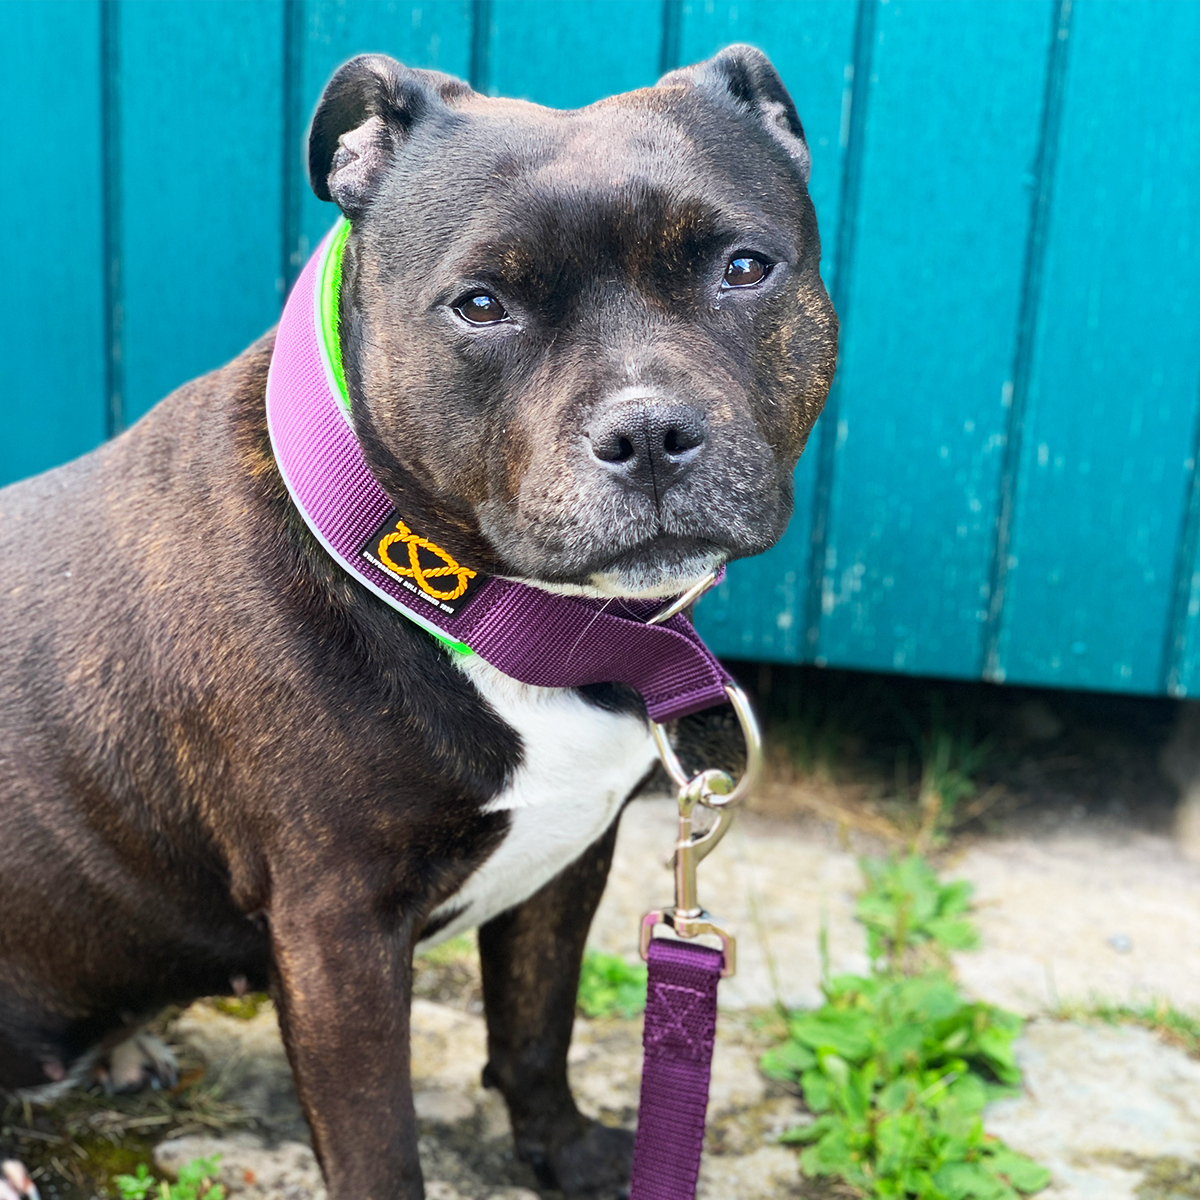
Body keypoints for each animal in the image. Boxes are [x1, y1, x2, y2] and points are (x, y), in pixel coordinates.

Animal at [0, 46, 840, 1200]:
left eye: (745, 269)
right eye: (479, 304)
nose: (650, 432)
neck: (474, 606)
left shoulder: (567, 865)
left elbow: (535, 1028)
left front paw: (571, 1157)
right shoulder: (340, 937)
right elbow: (379, 1144)